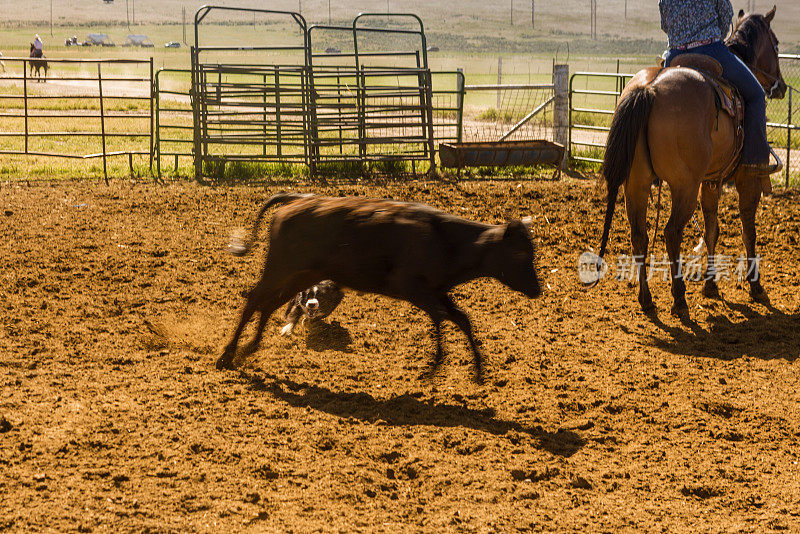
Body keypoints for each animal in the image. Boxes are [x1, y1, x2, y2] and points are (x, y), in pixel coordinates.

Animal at [596, 6, 784, 316]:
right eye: (776, 44)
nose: (780, 86)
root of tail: (649, 89)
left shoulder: (711, 181)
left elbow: (712, 230)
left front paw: (711, 285)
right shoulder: (747, 178)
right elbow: (748, 229)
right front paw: (756, 286)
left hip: (636, 183)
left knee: (639, 235)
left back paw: (647, 299)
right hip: (684, 186)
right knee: (671, 232)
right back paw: (679, 297)